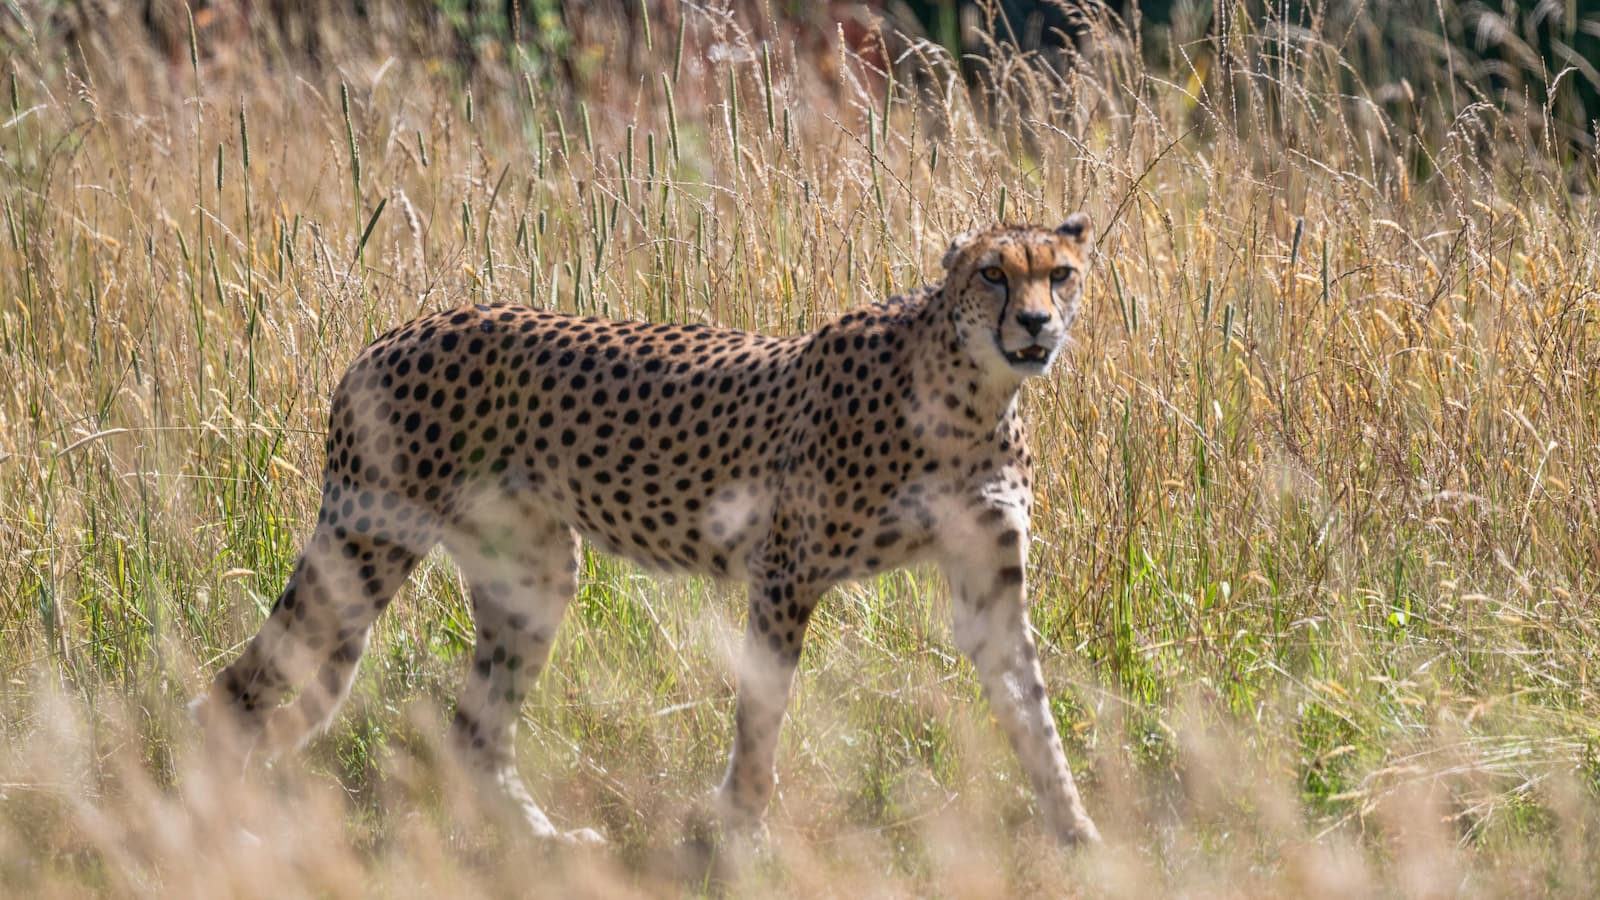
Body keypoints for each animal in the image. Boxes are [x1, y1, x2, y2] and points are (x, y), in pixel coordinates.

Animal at [193, 215, 1103, 848]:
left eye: (1060, 275)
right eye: (993, 274)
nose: (1035, 325)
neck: (971, 397)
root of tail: (399, 328)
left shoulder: (988, 591)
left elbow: (1032, 712)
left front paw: (1078, 834)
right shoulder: (785, 572)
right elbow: (762, 717)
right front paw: (742, 835)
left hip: (533, 572)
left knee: (475, 732)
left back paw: (547, 844)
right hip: (366, 543)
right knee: (239, 690)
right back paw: (231, 827)